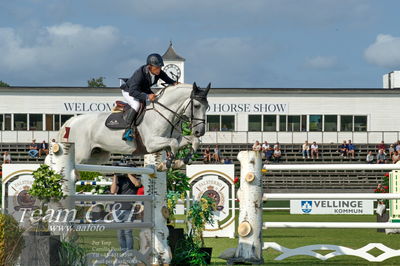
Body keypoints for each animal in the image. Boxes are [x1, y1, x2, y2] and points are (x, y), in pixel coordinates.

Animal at [57, 83, 211, 164]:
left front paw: (185, 159)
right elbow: (173, 143)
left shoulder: (176, 138)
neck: (164, 112)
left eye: (207, 107)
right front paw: (168, 162)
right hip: (80, 155)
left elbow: (192, 141)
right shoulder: (151, 143)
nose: (200, 131)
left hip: (97, 156)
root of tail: (71, 121)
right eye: (197, 106)